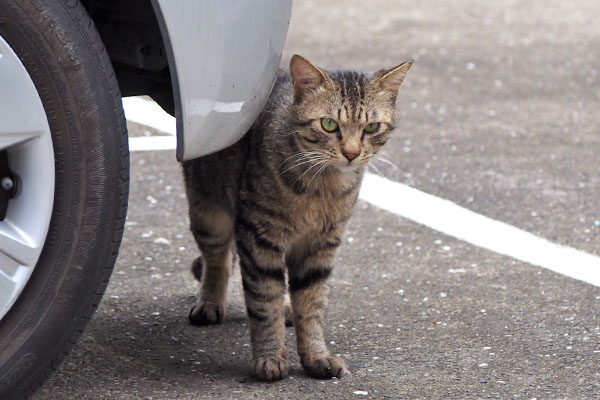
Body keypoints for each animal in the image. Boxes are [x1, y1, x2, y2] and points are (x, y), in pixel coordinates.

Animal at [183, 54, 412, 382]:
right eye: (329, 124)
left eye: (371, 127)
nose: (352, 153)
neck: (321, 188)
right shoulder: (258, 238)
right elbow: (264, 303)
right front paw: (269, 357)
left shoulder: (321, 246)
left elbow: (312, 304)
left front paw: (317, 356)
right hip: (208, 214)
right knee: (219, 260)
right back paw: (210, 302)